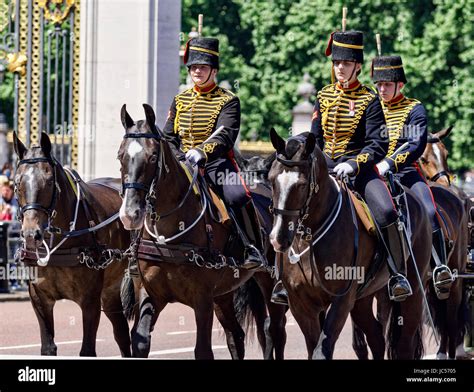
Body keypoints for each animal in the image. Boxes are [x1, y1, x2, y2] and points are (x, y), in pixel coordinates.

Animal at [12, 132, 131, 358]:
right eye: (17, 182)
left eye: (50, 181)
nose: (31, 235)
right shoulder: (39, 298)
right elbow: (48, 347)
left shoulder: (90, 300)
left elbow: (87, 350)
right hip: (110, 290)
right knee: (121, 331)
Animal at [115, 103, 286, 358]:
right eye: (120, 156)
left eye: (153, 156)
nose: (130, 214)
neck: (169, 235)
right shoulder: (150, 293)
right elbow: (141, 342)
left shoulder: (202, 298)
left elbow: (203, 350)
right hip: (224, 293)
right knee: (236, 335)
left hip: (268, 281)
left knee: (274, 330)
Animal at [266, 130, 434, 360]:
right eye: (271, 180)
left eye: (300, 184)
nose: (278, 238)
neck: (309, 236)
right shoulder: (300, 303)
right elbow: (313, 348)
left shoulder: (342, 299)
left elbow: (321, 351)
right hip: (363, 299)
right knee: (377, 338)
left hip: (414, 292)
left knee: (404, 345)